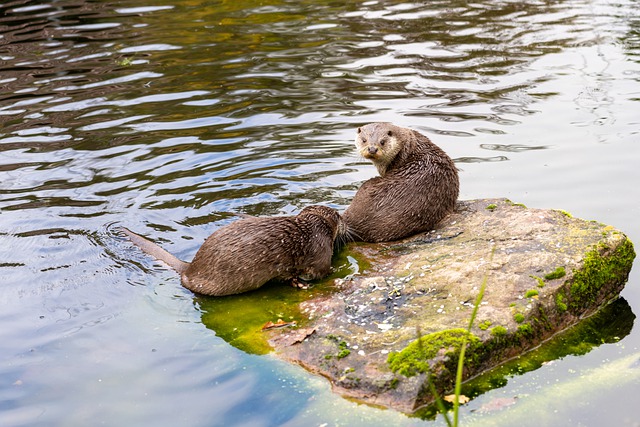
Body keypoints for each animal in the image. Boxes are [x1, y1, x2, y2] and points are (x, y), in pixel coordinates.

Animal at [123, 206, 348, 296]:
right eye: (339, 217)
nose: (345, 222)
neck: (314, 228)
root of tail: (189, 269)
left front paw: (297, 282)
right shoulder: (320, 249)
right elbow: (320, 271)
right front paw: (334, 271)